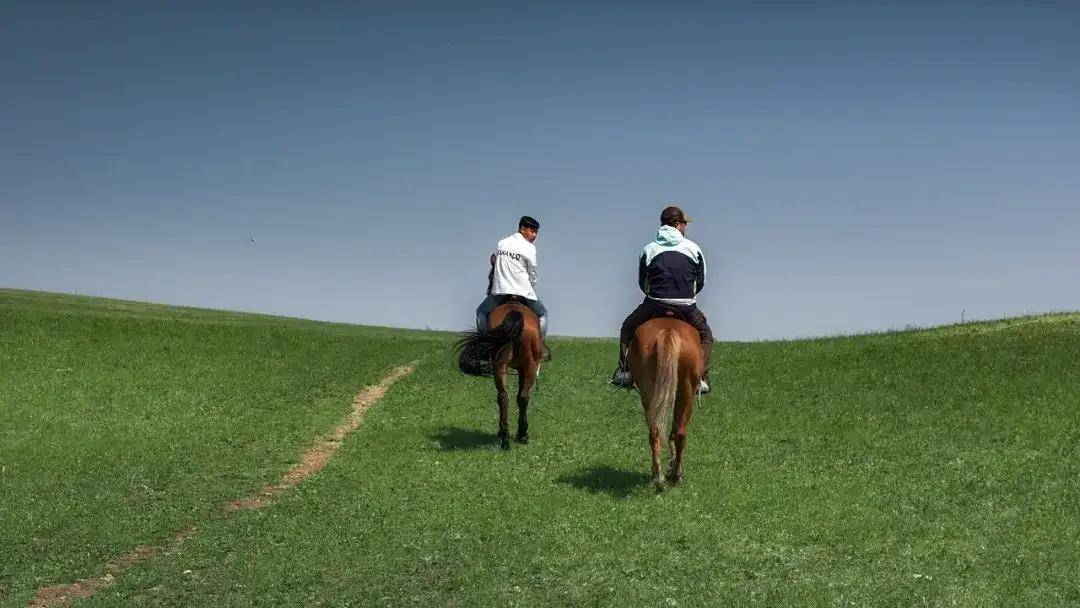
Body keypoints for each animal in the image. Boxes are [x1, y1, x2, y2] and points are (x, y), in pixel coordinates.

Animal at [453, 302, 548, 449]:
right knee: (522, 397)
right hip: (530, 366)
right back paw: (521, 435)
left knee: (504, 397)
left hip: (501, 365)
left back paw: (505, 438)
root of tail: (515, 311)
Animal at [630, 319, 704, 490]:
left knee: (655, 432)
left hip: (650, 393)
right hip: (686, 394)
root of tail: (668, 331)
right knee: (680, 434)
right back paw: (676, 475)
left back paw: (659, 477)